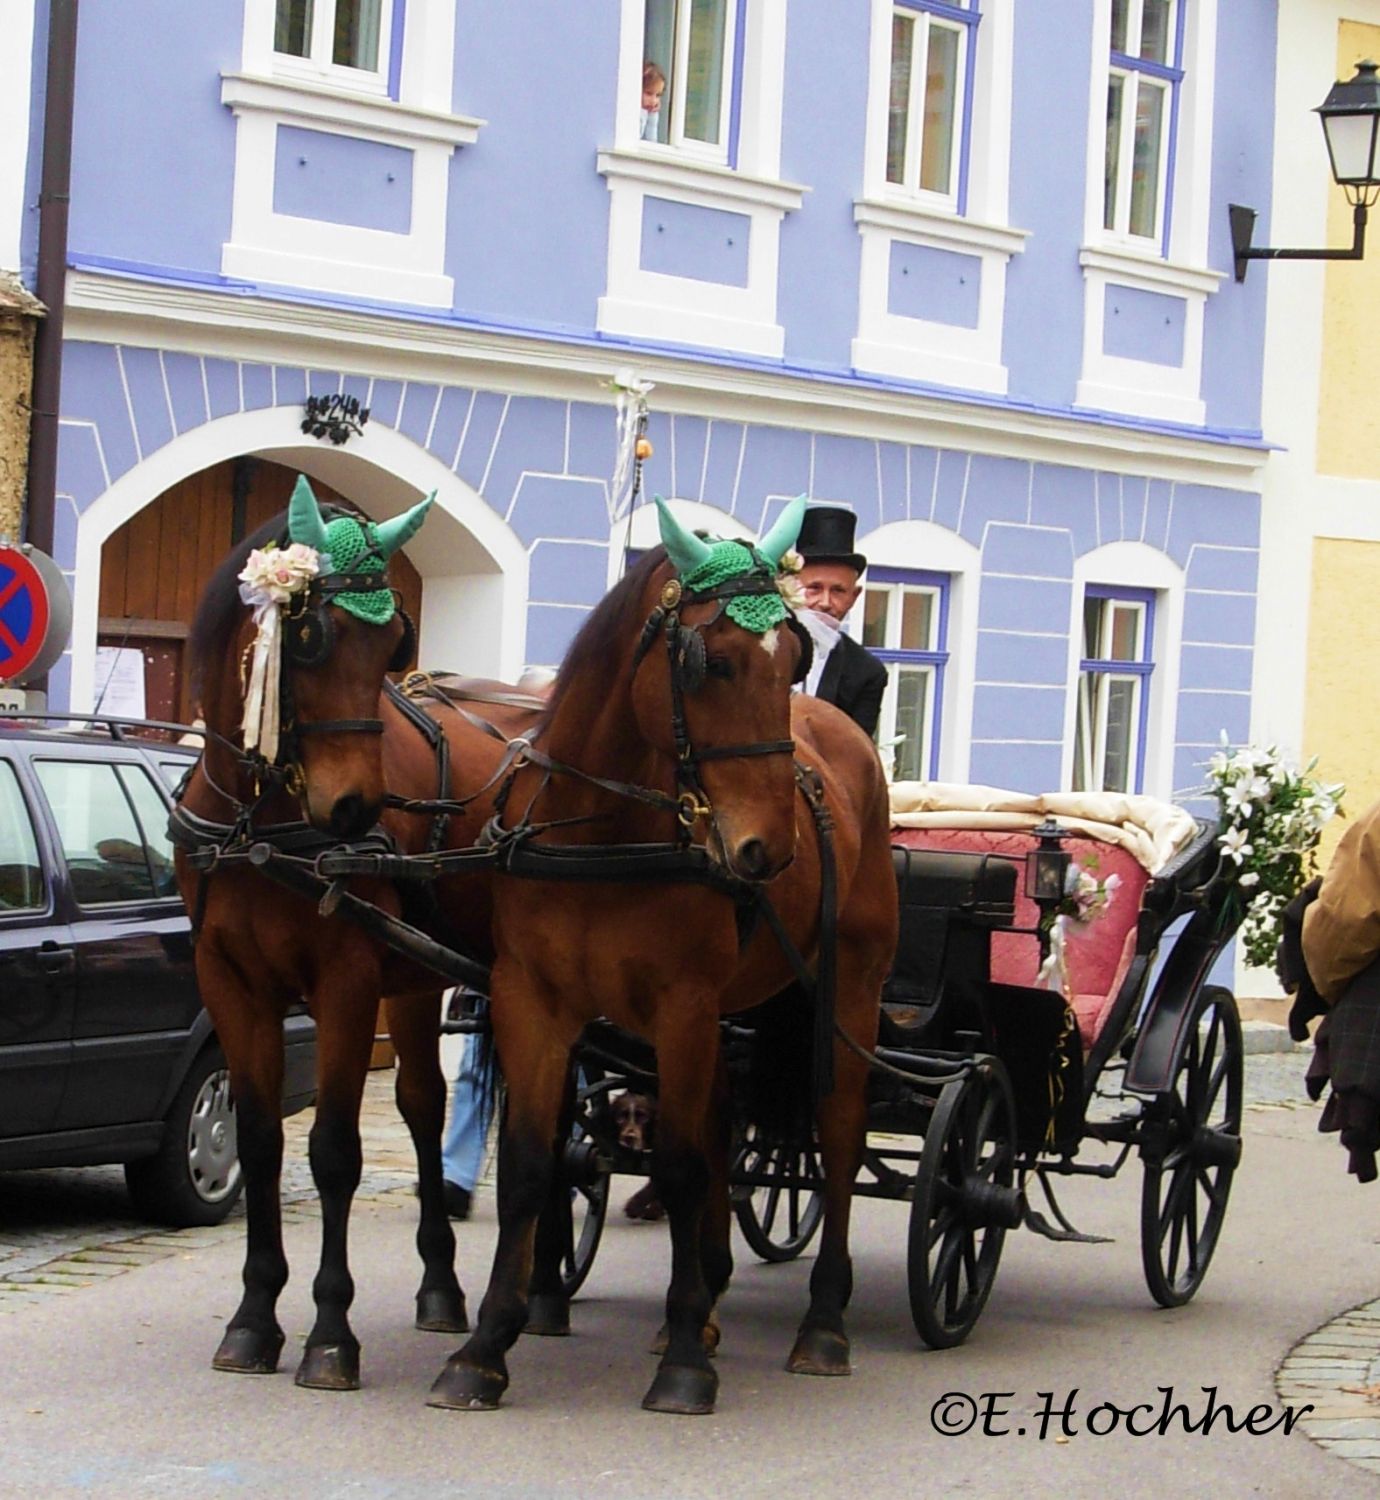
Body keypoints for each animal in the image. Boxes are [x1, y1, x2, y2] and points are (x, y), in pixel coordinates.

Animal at [172, 474, 540, 1386]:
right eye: (307, 635)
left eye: (391, 643)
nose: (354, 812)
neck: (262, 826)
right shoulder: (230, 982)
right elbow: (261, 1139)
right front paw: (254, 1317)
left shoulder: (343, 982)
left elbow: (334, 1150)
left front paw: (329, 1333)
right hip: (414, 980)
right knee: (423, 1106)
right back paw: (442, 1288)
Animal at [432, 498, 906, 1410]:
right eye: (709, 662)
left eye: (794, 658)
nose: (769, 852)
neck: (601, 833)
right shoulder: (532, 1002)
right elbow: (531, 1165)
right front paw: (486, 1346)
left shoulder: (682, 1005)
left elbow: (685, 1164)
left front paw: (687, 1359)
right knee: (727, 1120)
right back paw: (712, 1292)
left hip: (850, 991)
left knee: (836, 1135)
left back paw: (822, 1323)